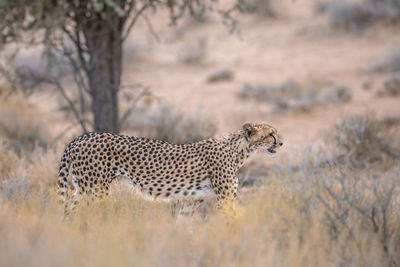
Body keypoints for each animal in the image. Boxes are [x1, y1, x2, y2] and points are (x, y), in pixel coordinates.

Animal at [57, 123, 284, 216]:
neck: (239, 150)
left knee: (69, 208)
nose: (281, 143)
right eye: (271, 134)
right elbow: (232, 220)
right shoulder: (226, 197)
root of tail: (81, 136)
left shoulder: (192, 200)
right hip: (95, 191)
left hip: (83, 189)